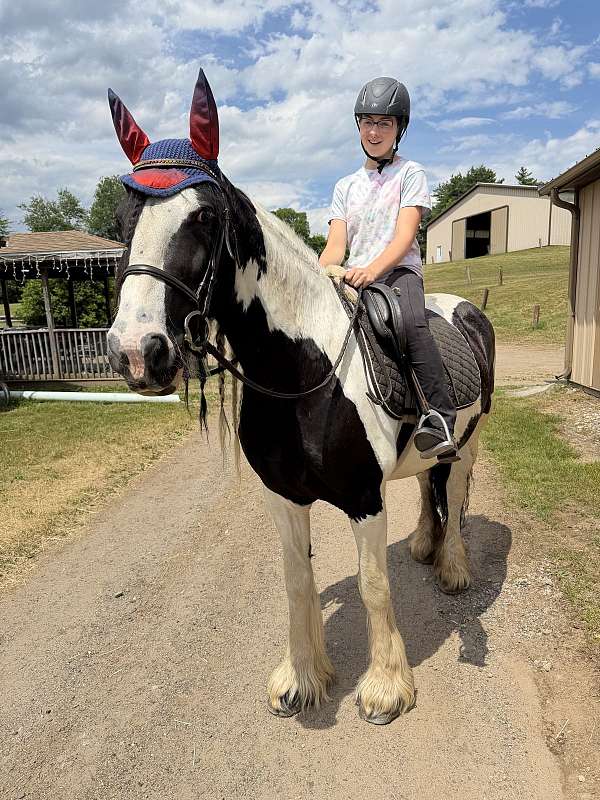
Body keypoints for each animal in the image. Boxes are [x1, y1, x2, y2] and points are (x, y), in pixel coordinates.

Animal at [106, 69, 495, 726]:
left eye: (204, 218)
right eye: (123, 216)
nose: (137, 352)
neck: (299, 375)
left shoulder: (364, 499)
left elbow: (372, 586)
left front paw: (385, 689)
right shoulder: (283, 497)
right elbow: (296, 583)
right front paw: (303, 680)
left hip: (464, 443)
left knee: (457, 496)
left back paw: (454, 569)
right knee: (428, 485)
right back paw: (424, 544)